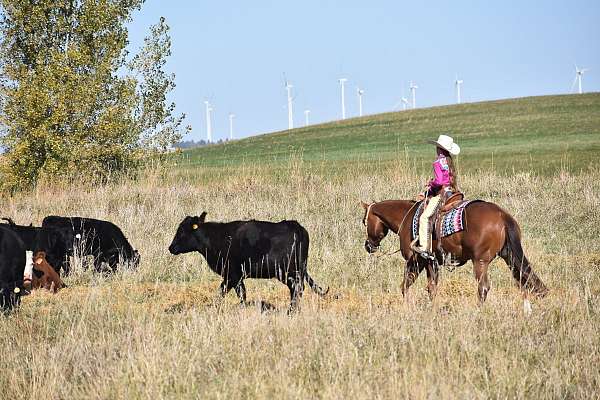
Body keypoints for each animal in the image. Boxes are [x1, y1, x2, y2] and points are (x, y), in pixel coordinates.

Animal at [168, 212, 328, 312]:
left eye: (182, 231)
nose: (171, 247)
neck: (216, 238)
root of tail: (295, 226)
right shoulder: (236, 276)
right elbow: (238, 293)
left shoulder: (232, 274)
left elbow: (229, 292)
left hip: (287, 271)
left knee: (296, 288)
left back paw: (291, 311)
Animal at [360, 200, 548, 306]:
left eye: (364, 221)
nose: (368, 246)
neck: (406, 218)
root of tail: (501, 215)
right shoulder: (432, 262)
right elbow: (431, 287)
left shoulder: (416, 261)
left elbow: (407, 286)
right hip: (509, 256)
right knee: (527, 277)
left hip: (480, 262)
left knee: (483, 287)